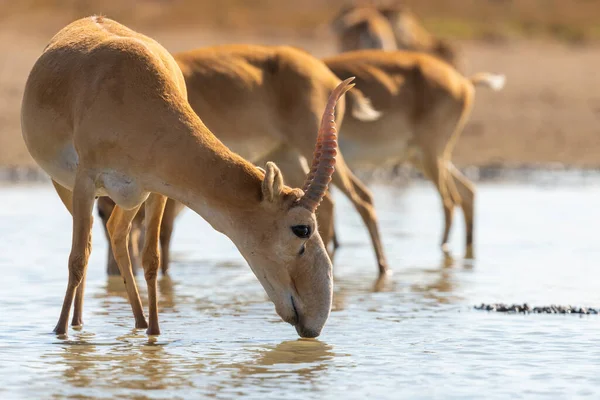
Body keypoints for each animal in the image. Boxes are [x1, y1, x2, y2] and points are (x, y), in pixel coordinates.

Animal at [22, 17, 352, 340]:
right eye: (302, 229)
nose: (316, 322)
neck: (131, 90)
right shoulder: (86, 181)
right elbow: (77, 258)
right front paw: (60, 333)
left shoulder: (155, 189)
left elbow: (151, 259)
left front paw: (155, 335)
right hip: (65, 186)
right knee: (88, 244)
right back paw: (76, 322)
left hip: (129, 198)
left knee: (117, 234)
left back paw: (138, 322)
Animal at [98, 43, 390, 276]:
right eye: (100, 212)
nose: (112, 272)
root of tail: (328, 74)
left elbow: (165, 232)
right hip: (285, 155)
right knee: (329, 202)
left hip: (310, 146)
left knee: (362, 197)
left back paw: (382, 268)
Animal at [324, 49, 506, 260]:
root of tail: (464, 83)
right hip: (424, 157)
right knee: (468, 192)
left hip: (431, 156)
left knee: (450, 202)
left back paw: (443, 249)